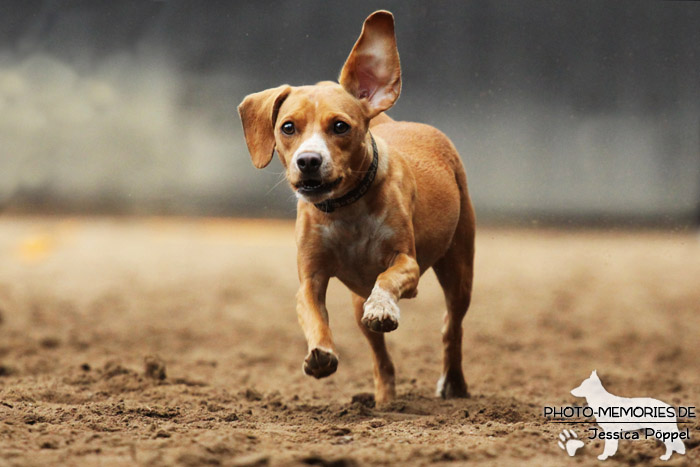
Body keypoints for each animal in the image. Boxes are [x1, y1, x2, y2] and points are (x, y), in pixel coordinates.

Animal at [237, 9, 476, 404]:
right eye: (287, 127)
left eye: (339, 126)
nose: (308, 160)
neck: (347, 211)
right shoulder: (311, 277)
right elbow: (312, 313)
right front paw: (320, 354)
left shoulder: (406, 263)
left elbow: (388, 278)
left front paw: (382, 306)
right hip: (355, 302)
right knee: (381, 360)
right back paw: (385, 400)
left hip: (459, 269)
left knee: (451, 327)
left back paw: (453, 383)